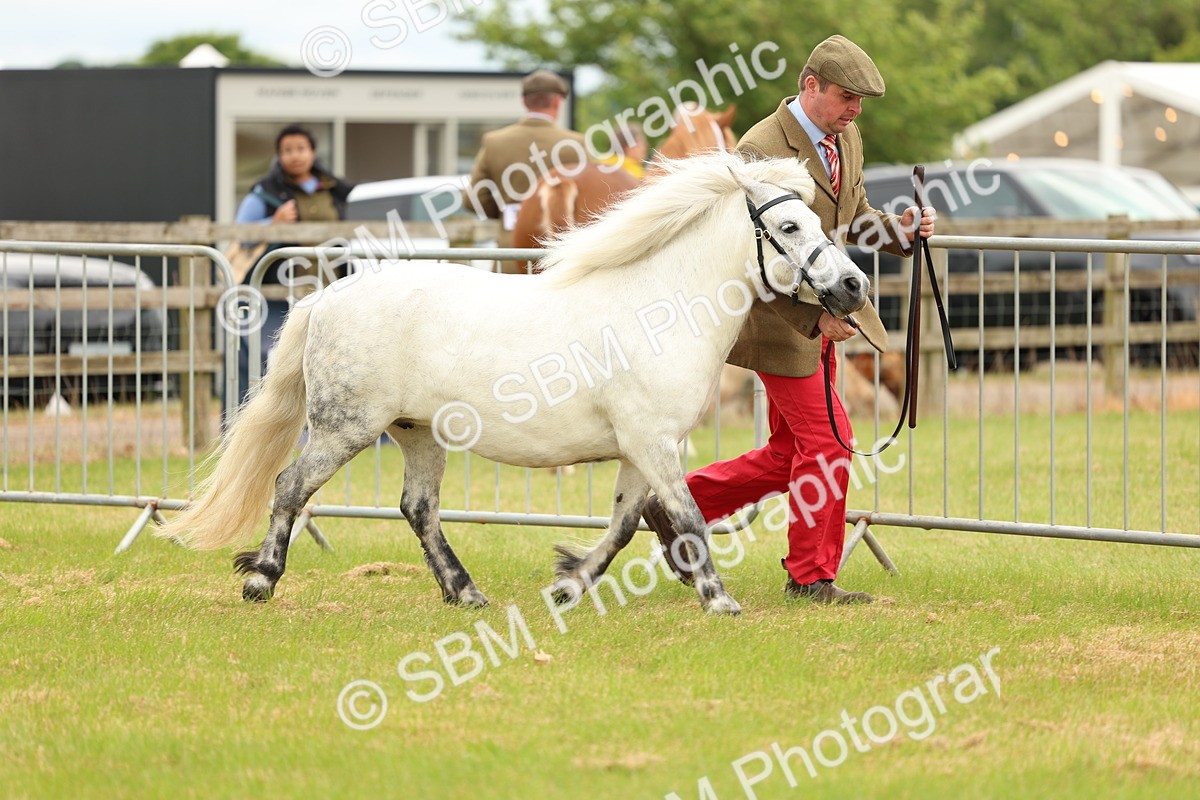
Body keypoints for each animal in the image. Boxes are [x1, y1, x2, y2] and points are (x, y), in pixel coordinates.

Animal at [158, 152, 871, 616]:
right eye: (790, 227)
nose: (854, 286)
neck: (659, 307)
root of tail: (328, 296)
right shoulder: (654, 443)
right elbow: (690, 517)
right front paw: (719, 599)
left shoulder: (641, 448)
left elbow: (623, 525)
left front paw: (568, 584)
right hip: (346, 429)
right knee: (290, 487)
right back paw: (262, 581)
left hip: (418, 433)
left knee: (418, 509)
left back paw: (466, 592)